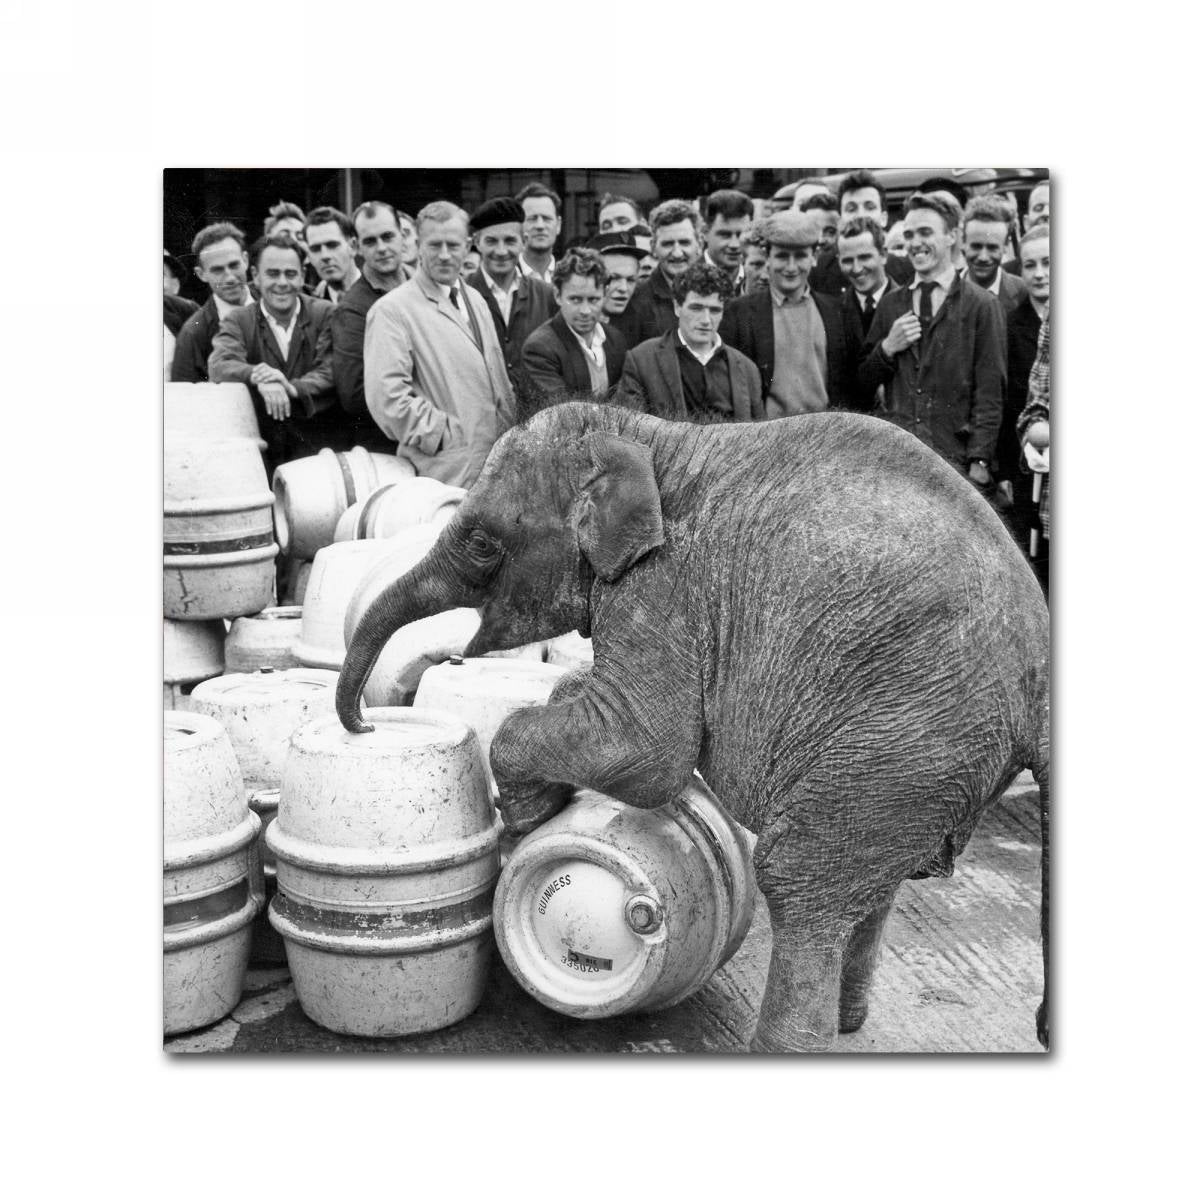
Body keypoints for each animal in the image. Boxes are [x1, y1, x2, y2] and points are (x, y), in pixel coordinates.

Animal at [338, 400, 1051, 1051]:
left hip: (907, 737)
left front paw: (526, 815)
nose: (364, 726)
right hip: (918, 752)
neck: (647, 436)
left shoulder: (665, 586)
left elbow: (648, 751)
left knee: (796, 877)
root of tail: (1040, 674)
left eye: (484, 545)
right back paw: (850, 1024)